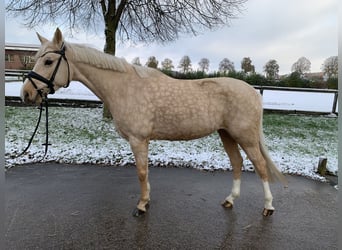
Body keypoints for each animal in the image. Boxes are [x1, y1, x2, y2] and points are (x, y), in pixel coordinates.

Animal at [20, 28, 284, 217]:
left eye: (48, 61)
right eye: (35, 58)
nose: (26, 94)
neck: (124, 87)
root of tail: (253, 91)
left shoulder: (138, 140)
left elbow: (141, 172)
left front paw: (142, 205)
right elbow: (144, 172)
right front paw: (146, 201)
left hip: (245, 136)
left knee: (260, 166)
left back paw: (269, 206)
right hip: (226, 133)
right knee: (238, 162)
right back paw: (230, 200)